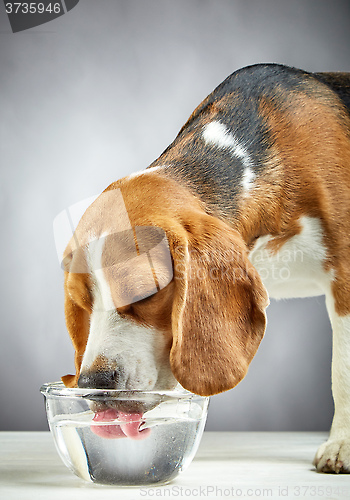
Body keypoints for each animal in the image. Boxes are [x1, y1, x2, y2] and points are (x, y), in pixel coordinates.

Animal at [61, 65, 350, 472]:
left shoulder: (346, 274)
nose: (93, 382)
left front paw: (342, 444)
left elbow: (342, 370)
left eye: (146, 292)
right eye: (82, 303)